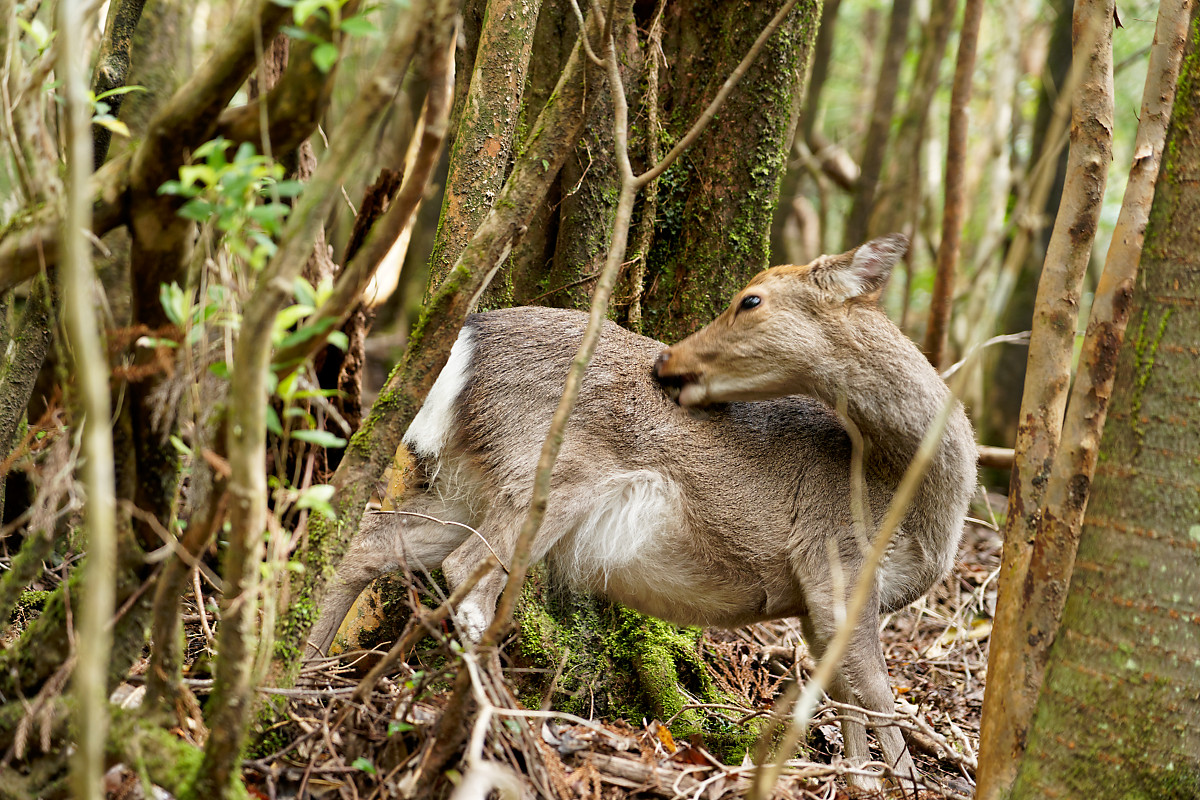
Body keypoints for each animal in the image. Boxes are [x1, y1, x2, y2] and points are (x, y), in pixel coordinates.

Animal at [312, 232, 984, 786]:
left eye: (751, 300)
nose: (669, 362)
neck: (908, 499)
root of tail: (464, 342)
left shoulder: (818, 598)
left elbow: (845, 700)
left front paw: (863, 781)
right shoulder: (837, 558)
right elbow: (876, 692)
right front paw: (903, 783)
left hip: (464, 485)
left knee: (369, 545)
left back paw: (306, 675)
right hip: (548, 475)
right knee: (468, 575)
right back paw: (509, 725)